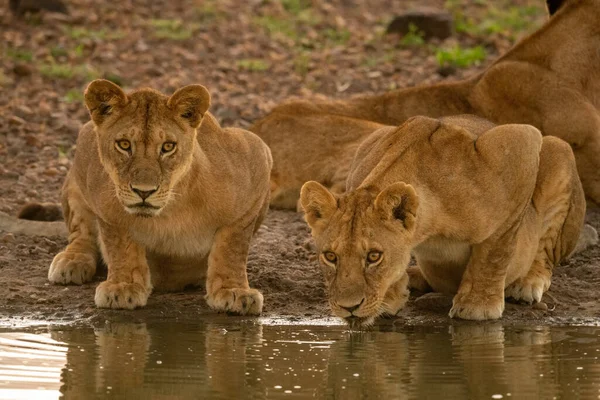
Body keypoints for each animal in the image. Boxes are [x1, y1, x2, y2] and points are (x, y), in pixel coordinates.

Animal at [47, 79, 272, 316]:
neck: (170, 209)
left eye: (168, 147)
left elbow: (234, 246)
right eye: (124, 144)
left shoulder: (256, 159)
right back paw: (71, 261)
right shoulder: (105, 207)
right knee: (81, 232)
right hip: (78, 169)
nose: (144, 191)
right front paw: (123, 286)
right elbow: (119, 244)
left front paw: (234, 290)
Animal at [300, 114, 584, 326]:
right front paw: (391, 295)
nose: (348, 307)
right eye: (330, 256)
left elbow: (496, 249)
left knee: (546, 248)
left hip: (558, 150)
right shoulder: (366, 146)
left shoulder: (520, 143)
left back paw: (528, 283)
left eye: (373, 256)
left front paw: (478, 304)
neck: (428, 229)